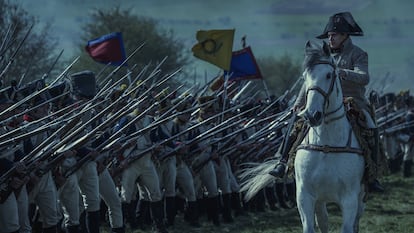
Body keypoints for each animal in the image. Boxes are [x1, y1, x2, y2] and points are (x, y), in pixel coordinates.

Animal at [294, 40, 366, 233]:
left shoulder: (350, 198)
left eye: (328, 75)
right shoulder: (304, 196)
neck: (326, 145)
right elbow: (311, 226)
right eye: (305, 76)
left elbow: (348, 227)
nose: (312, 115)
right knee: (323, 220)